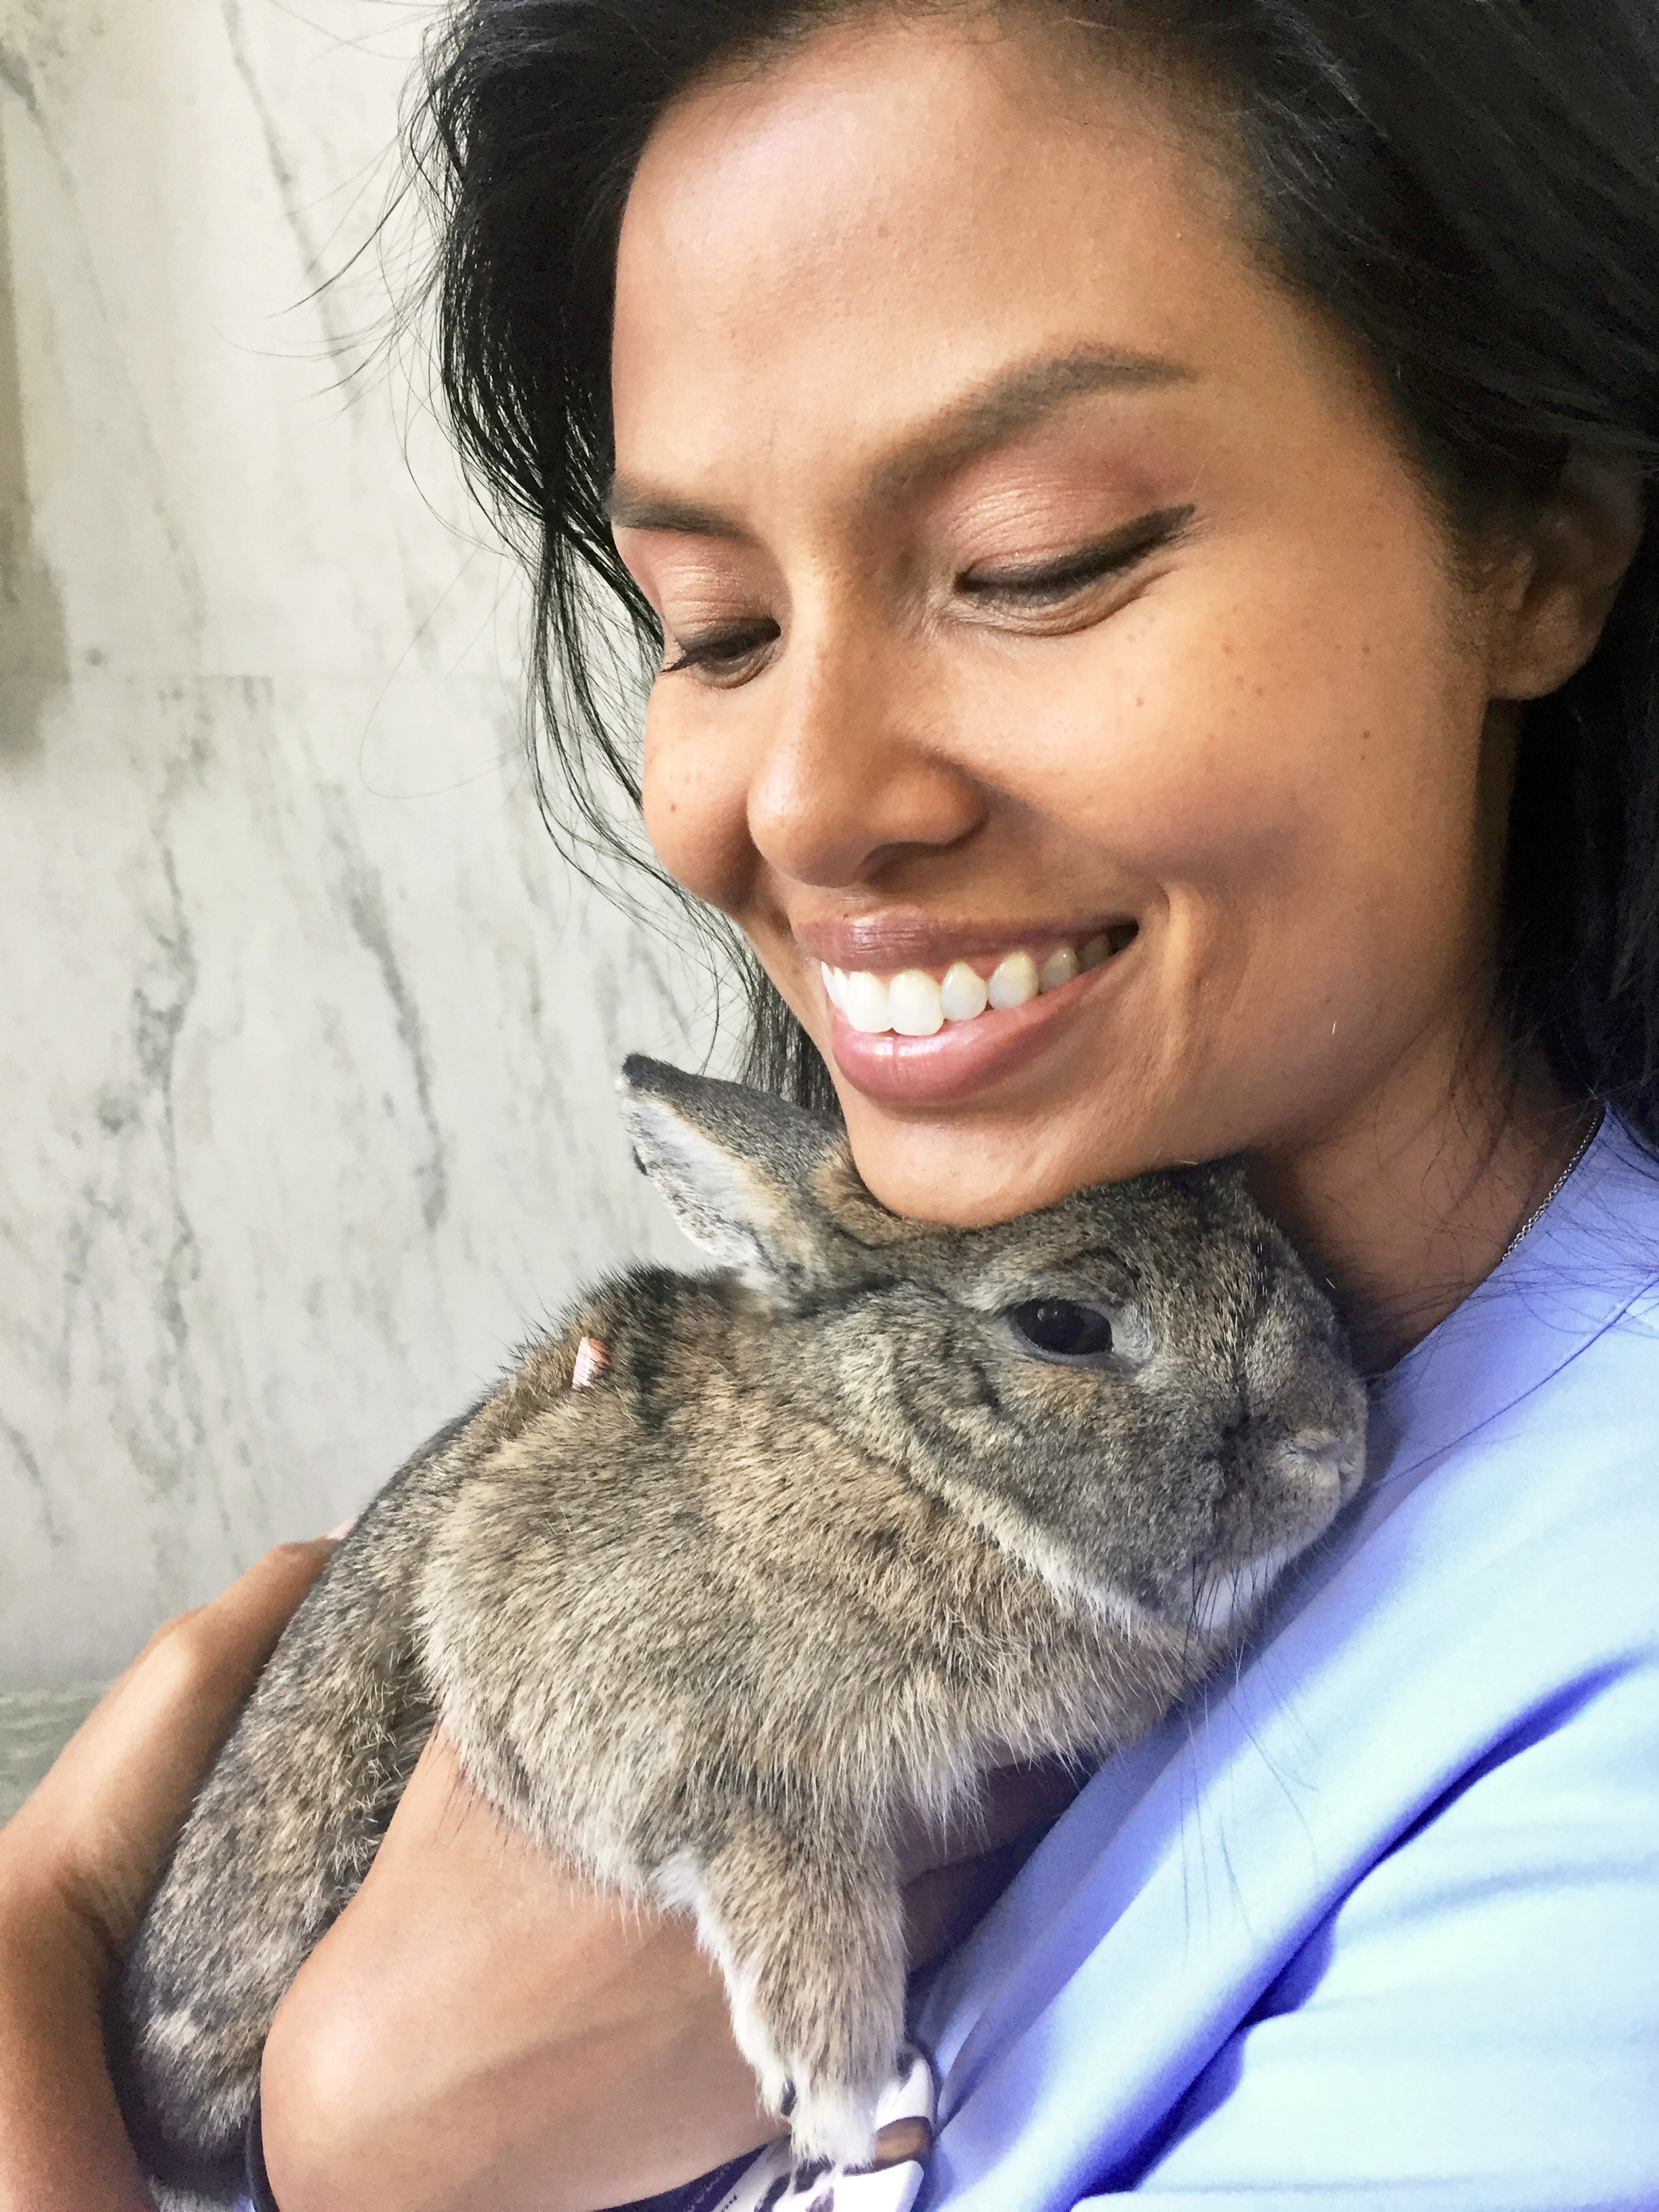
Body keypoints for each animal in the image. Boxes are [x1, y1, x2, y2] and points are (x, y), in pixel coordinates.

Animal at [112, 1055, 1368, 2207]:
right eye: (1062, 1325)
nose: (1335, 1440)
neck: (894, 1458)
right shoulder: (622, 1688)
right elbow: (775, 1830)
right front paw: (837, 2073)